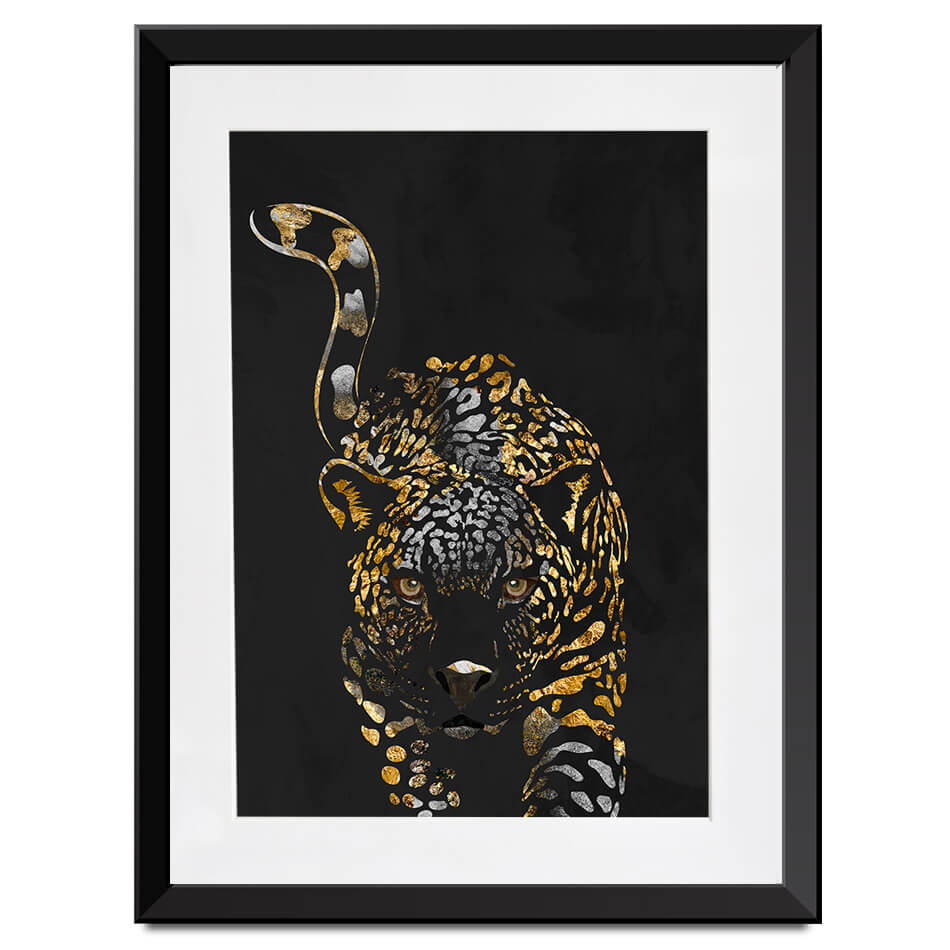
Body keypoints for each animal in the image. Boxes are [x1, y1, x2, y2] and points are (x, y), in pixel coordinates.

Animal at [251, 202, 629, 816]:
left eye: (517, 585)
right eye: (409, 586)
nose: (463, 677)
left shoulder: (587, 690)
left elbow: (573, 790)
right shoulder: (377, 690)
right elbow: (417, 781)